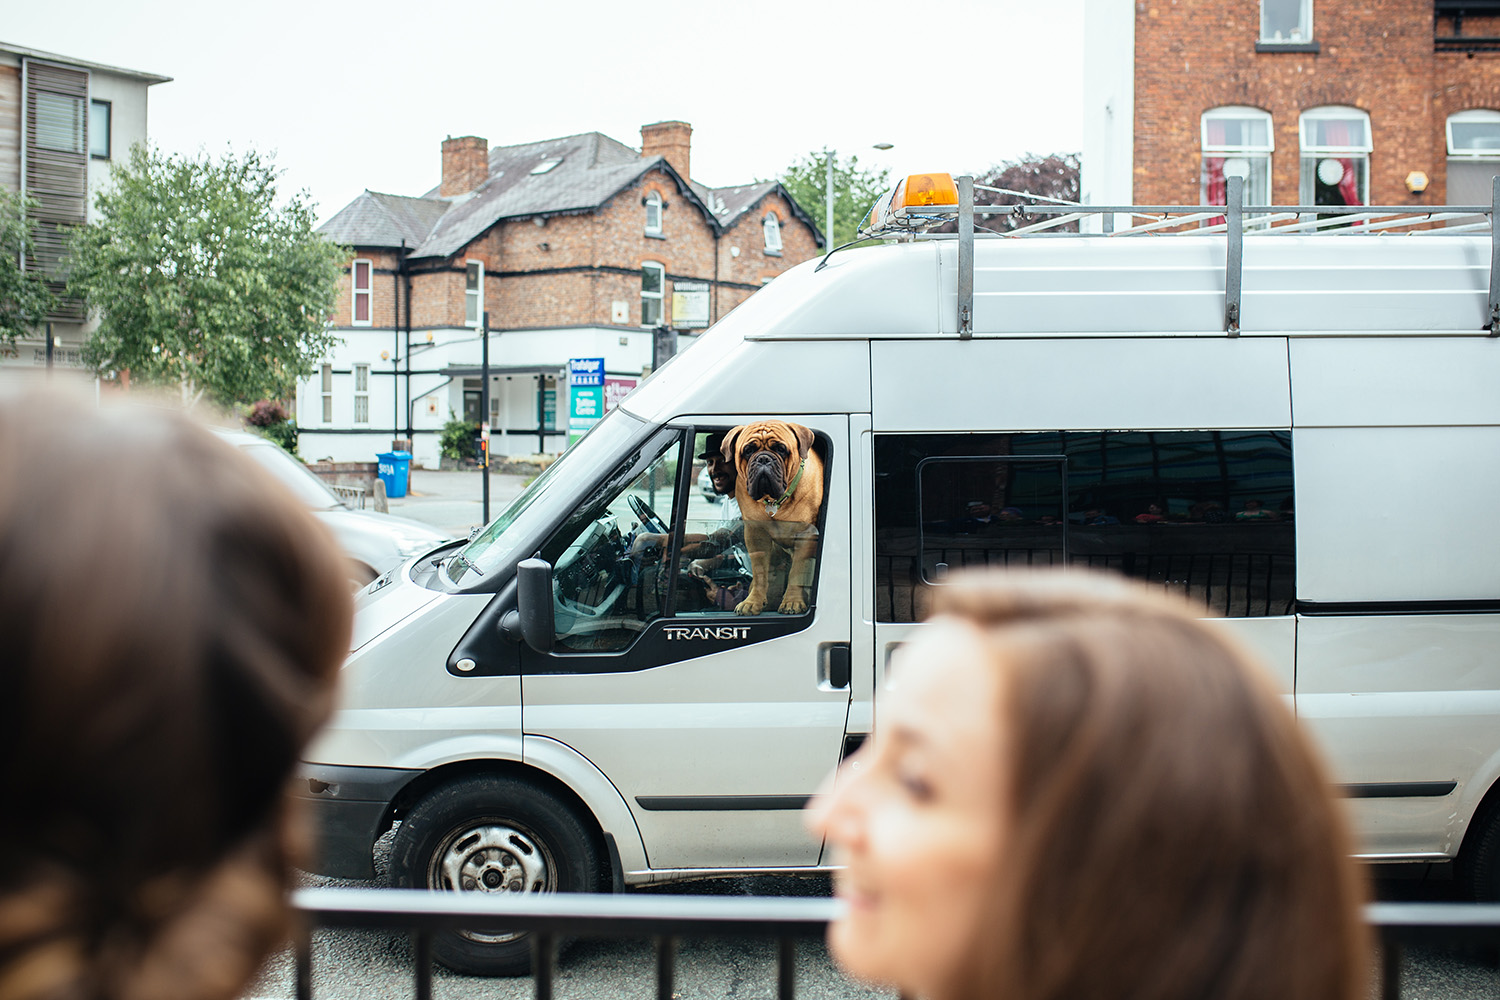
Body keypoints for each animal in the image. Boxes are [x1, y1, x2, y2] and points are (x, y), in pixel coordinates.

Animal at [720, 419, 828, 614]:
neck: (775, 501)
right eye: (748, 450)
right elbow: (760, 572)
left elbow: (798, 571)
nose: (763, 458)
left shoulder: (806, 535)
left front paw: (792, 602)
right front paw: (752, 602)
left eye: (781, 449)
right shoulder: (756, 534)